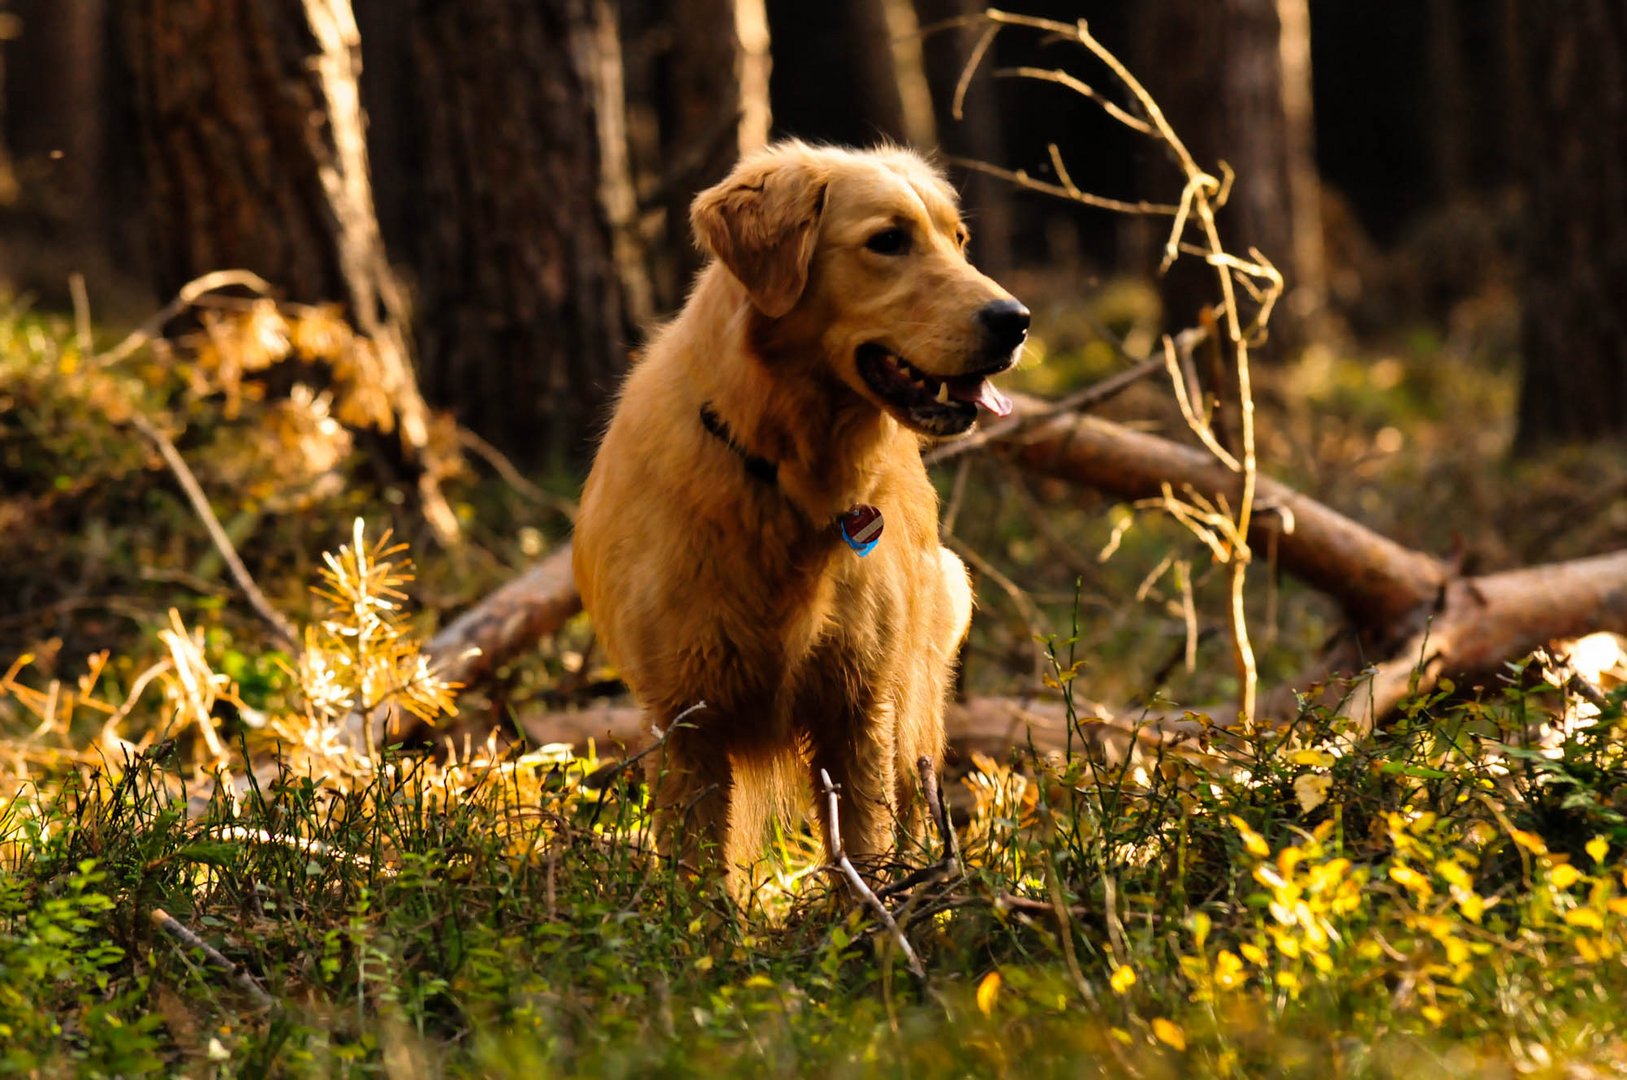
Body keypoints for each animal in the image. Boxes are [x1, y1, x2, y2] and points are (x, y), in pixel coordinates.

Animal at [572, 141, 1028, 884]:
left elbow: (865, 851)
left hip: (921, 679)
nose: (1015, 321)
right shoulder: (688, 720)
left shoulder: (860, 706)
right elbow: (700, 876)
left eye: (958, 241)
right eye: (888, 241)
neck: (782, 471)